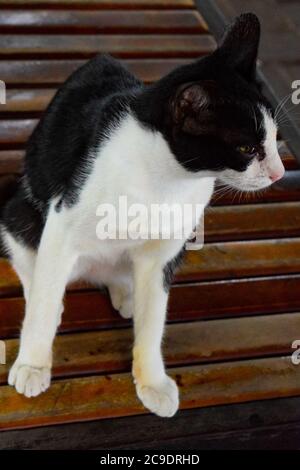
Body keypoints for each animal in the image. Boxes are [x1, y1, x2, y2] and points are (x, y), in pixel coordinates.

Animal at [1, 11, 284, 416]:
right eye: (246, 148)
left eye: (275, 138)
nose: (279, 173)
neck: (165, 180)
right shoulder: (62, 223)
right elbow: (43, 297)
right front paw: (33, 363)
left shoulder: (164, 251)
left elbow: (154, 320)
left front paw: (151, 381)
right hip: (21, 212)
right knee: (32, 265)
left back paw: (126, 292)